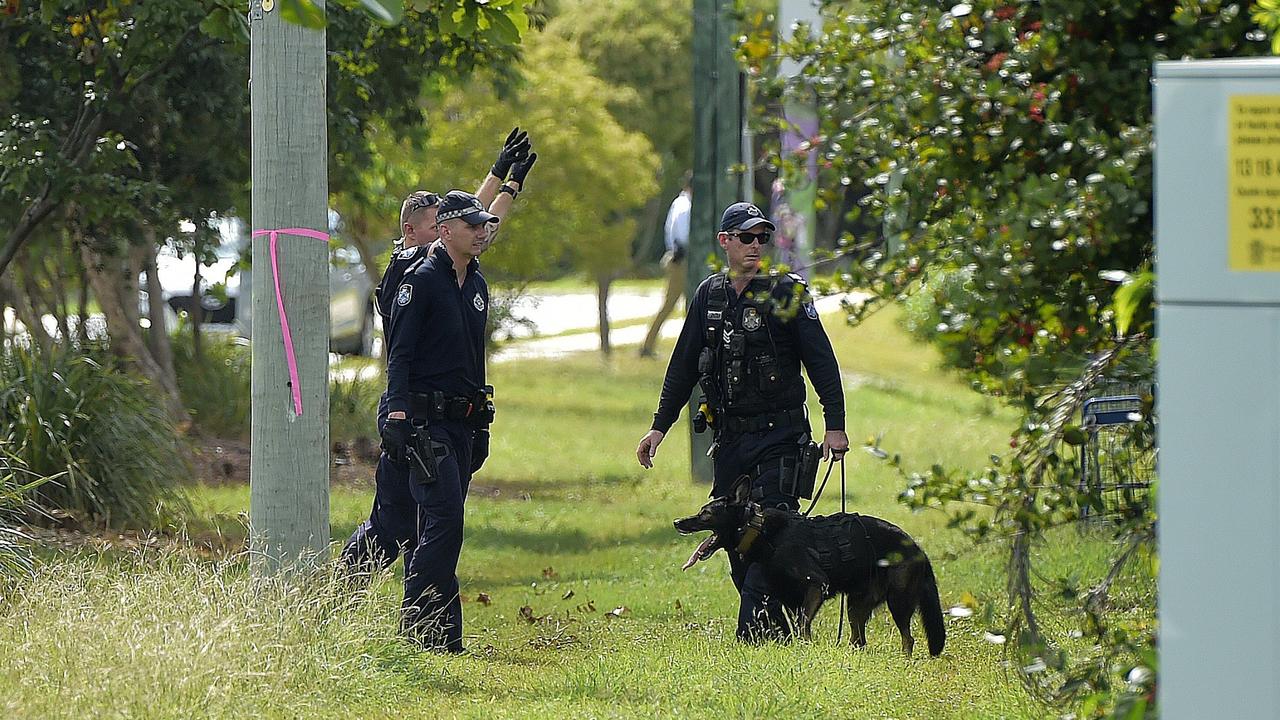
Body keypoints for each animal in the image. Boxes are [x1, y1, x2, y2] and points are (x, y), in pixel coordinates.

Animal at [675, 491, 947, 655]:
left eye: (705, 514)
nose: (677, 522)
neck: (761, 531)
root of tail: (919, 549)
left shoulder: (816, 586)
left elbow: (803, 625)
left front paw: (805, 649)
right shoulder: (791, 599)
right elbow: (797, 627)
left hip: (898, 601)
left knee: (908, 638)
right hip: (855, 606)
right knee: (859, 639)